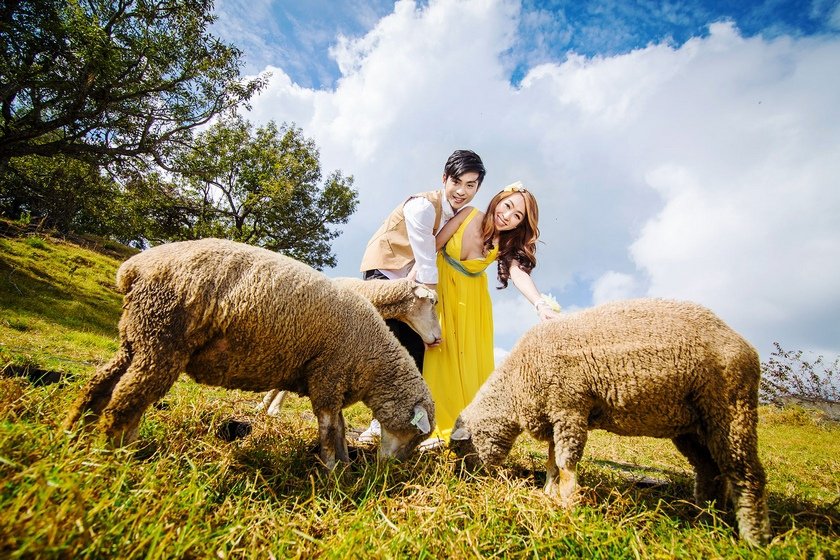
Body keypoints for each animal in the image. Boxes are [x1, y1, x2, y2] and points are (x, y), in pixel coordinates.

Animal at [450, 300, 772, 544]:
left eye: (461, 450)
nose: (467, 482)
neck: (515, 384)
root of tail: (742, 341)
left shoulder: (569, 408)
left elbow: (566, 463)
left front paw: (567, 503)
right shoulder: (555, 416)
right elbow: (552, 463)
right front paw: (549, 494)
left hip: (731, 407)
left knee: (747, 472)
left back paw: (754, 536)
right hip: (692, 425)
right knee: (710, 470)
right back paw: (705, 519)